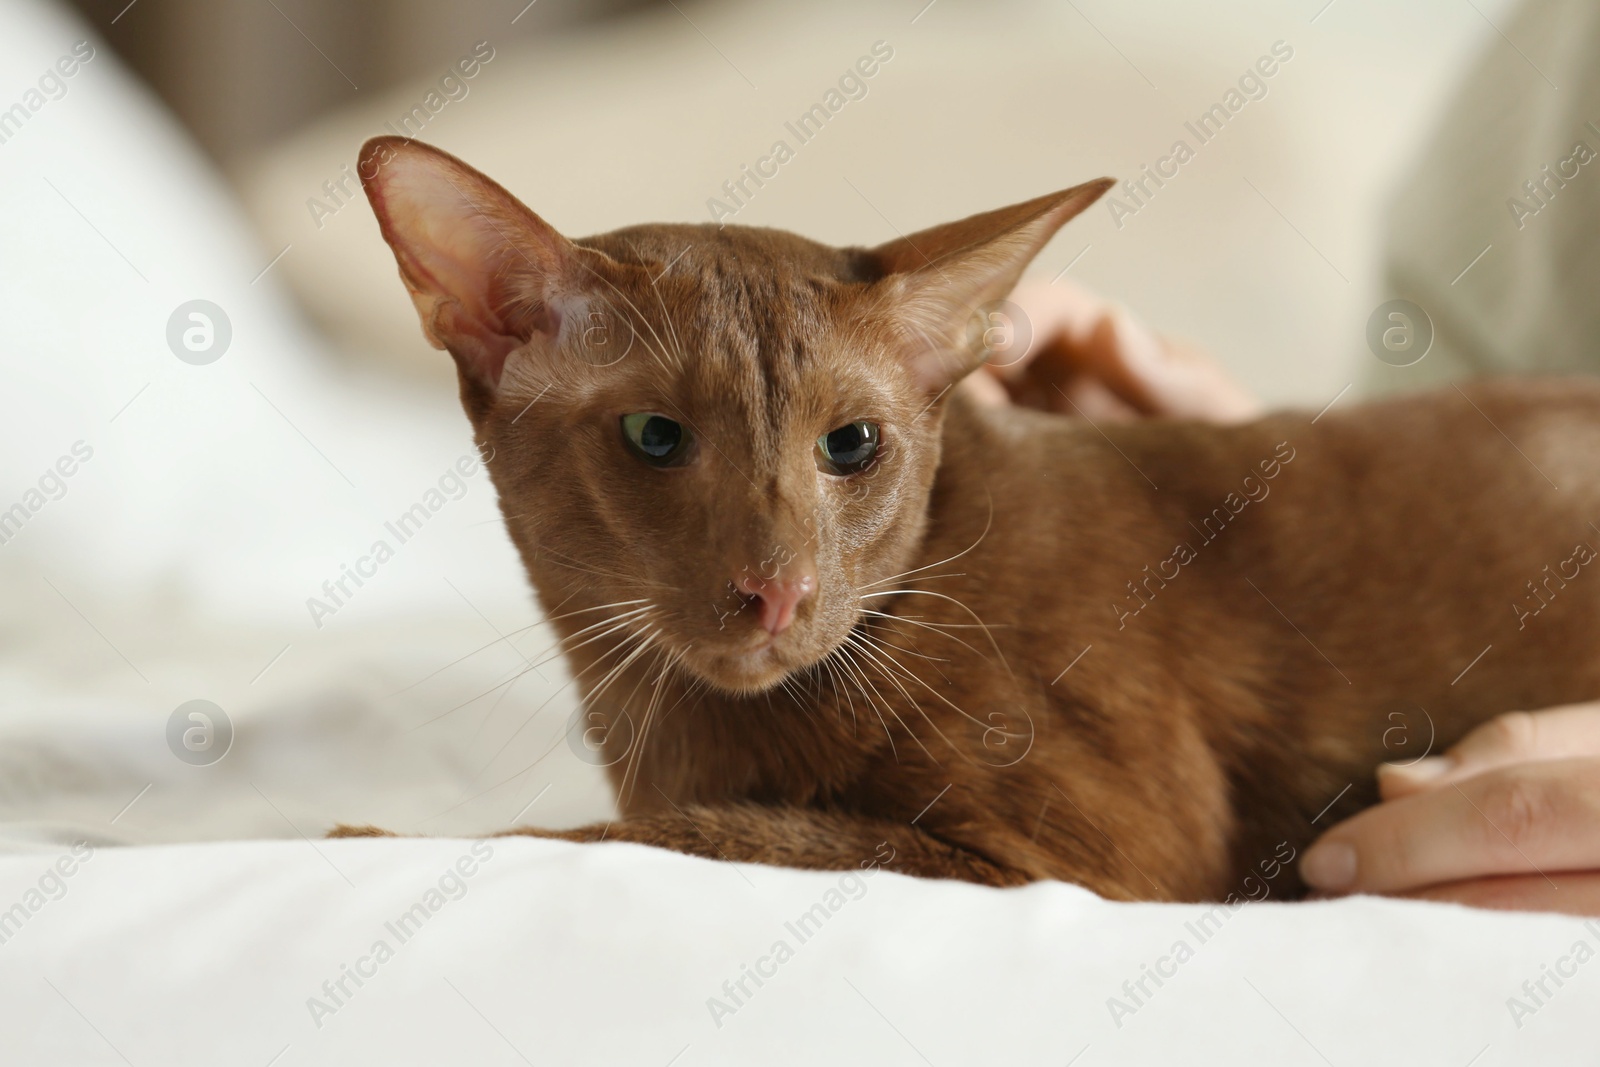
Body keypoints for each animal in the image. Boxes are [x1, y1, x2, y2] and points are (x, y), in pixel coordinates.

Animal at [344, 135, 1600, 902]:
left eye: (850, 445)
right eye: (654, 436)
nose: (778, 590)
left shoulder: (1085, 863)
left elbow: (704, 832)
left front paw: (374, 839)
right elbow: (706, 824)